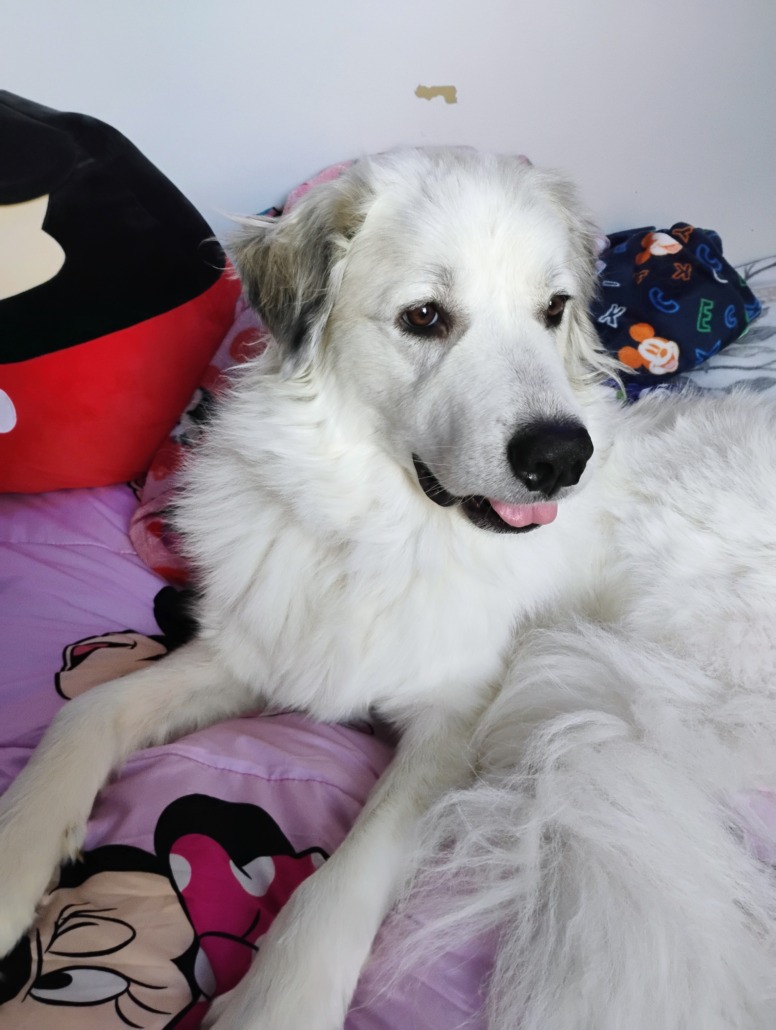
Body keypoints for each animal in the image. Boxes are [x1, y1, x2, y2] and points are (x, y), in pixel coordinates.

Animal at [2, 147, 776, 1030]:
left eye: (553, 310)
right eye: (425, 317)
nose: (562, 457)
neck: (378, 526)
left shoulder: (454, 723)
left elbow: (343, 878)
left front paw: (278, 1000)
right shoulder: (257, 651)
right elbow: (87, 714)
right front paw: (15, 860)